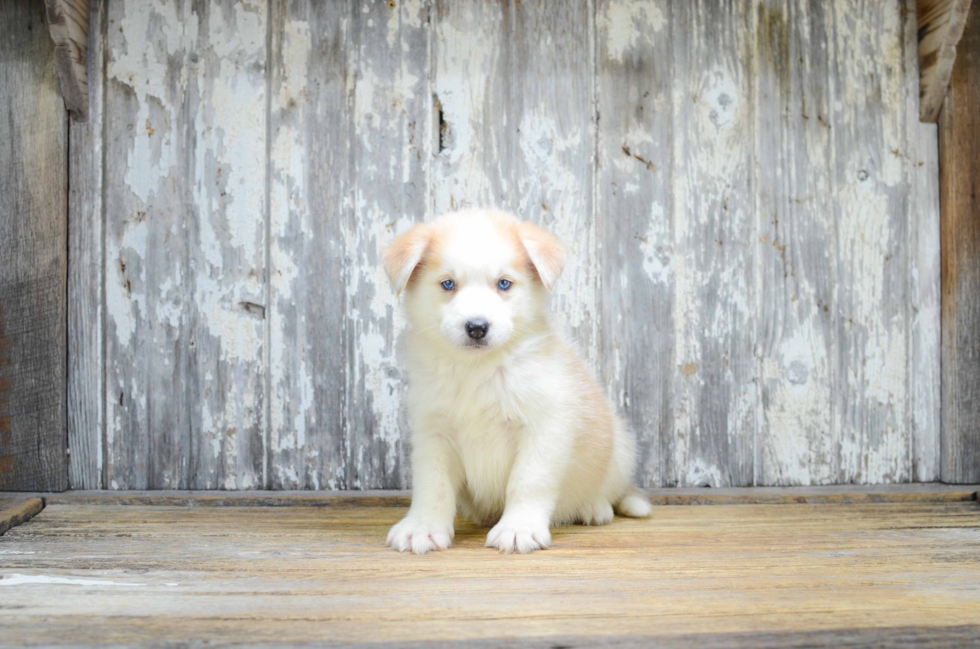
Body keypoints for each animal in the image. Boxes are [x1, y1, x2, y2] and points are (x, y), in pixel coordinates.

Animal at [382, 208, 652, 552]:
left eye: (504, 284)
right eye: (448, 284)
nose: (477, 327)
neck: (477, 369)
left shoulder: (544, 428)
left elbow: (528, 481)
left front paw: (518, 528)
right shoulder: (434, 434)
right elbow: (433, 486)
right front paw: (422, 528)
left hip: (619, 449)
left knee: (608, 490)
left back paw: (594, 507)